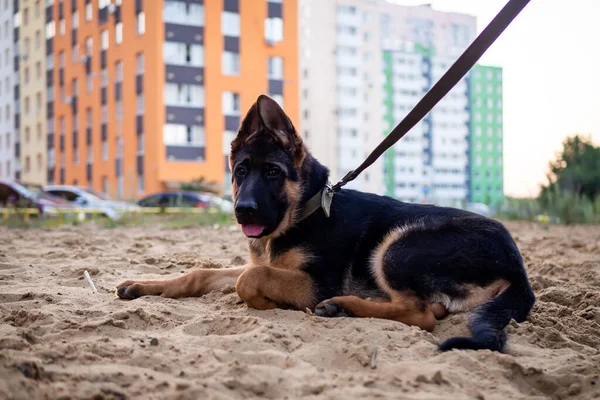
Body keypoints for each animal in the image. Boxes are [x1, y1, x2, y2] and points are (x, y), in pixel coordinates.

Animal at [116, 95, 536, 352]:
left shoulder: (315, 281)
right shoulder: (262, 260)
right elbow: (200, 273)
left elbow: (248, 279)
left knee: (423, 315)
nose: (242, 210)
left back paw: (342, 306)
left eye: (273, 172)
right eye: (240, 171)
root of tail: (518, 267)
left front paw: (268, 303)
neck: (305, 211)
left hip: (395, 247)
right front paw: (142, 285)